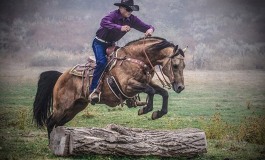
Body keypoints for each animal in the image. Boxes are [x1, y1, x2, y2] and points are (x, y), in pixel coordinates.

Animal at [32, 36, 186, 139]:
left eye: (183, 65)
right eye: (175, 65)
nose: (180, 87)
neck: (135, 58)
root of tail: (60, 76)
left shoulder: (146, 82)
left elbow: (163, 92)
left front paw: (157, 113)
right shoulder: (127, 86)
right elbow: (151, 91)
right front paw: (145, 109)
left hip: (74, 108)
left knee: (57, 124)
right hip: (62, 107)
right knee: (50, 122)